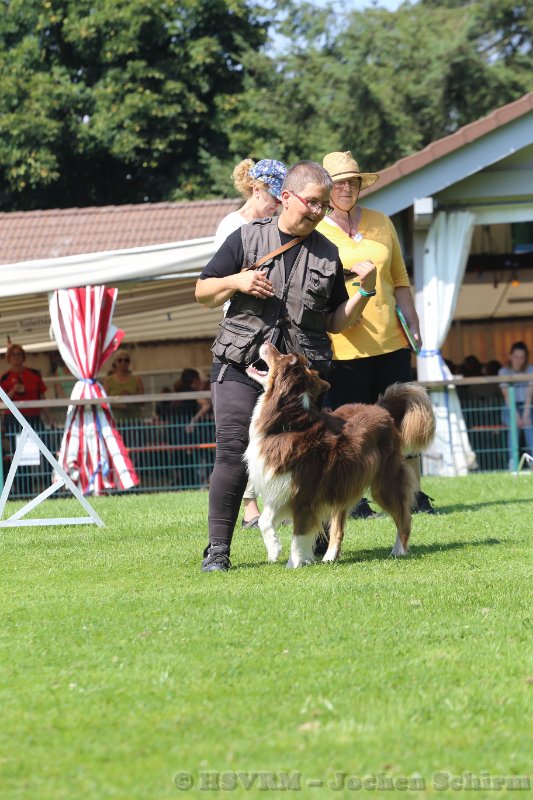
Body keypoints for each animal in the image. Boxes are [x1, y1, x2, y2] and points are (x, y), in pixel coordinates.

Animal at [245, 342, 436, 568]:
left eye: (282, 356)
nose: (266, 343)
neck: (289, 423)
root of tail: (382, 409)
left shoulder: (303, 495)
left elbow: (298, 535)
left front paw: (295, 563)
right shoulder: (281, 487)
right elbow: (264, 520)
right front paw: (274, 550)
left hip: (383, 485)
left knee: (404, 518)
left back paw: (399, 550)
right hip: (342, 485)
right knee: (338, 529)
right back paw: (329, 557)